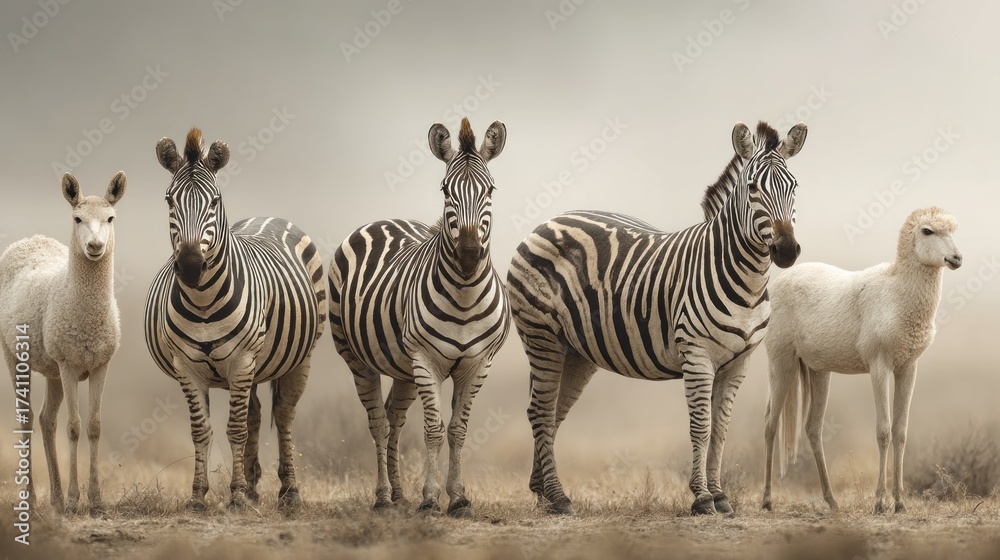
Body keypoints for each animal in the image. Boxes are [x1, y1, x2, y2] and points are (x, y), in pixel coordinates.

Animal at [144, 128, 326, 511]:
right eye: (169, 201)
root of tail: (268, 215)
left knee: (283, 414)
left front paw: (238, 496)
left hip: (299, 358)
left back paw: (290, 492)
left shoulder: (242, 361)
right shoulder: (187, 366)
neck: (203, 302)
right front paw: (199, 496)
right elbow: (202, 430)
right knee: (255, 412)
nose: (191, 266)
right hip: (256, 365)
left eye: (215, 201)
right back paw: (257, 486)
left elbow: (236, 429)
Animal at [328, 118, 510, 517]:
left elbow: (457, 429)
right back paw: (383, 498)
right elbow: (433, 430)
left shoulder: (478, 363)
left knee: (394, 420)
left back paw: (398, 495)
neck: (465, 294)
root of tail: (386, 219)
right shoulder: (427, 361)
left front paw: (458, 498)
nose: (469, 254)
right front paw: (429, 499)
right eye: (445, 190)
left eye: (490, 189)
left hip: (403, 367)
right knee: (379, 423)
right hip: (356, 357)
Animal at [506, 121, 808, 516]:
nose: (786, 250)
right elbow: (701, 427)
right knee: (541, 412)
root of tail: (547, 222)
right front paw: (702, 498)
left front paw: (721, 496)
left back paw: (542, 490)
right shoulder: (697, 356)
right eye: (753, 187)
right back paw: (558, 497)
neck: (747, 279)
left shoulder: (738, 363)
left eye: (794, 186)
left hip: (576, 352)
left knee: (551, 412)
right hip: (541, 336)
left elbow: (721, 429)